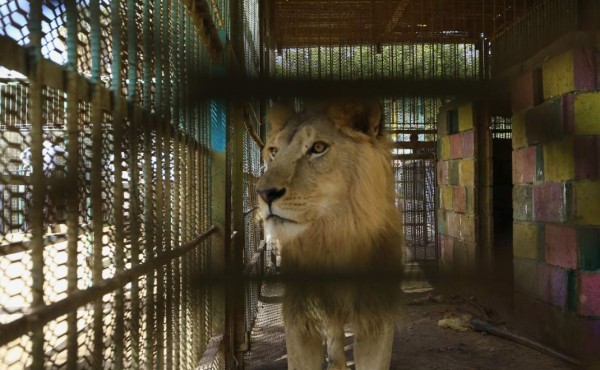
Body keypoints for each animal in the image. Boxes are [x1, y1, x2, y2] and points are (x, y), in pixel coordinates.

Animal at [256, 99, 404, 370]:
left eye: (318, 147)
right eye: (273, 151)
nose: (263, 193)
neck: (333, 235)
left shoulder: (376, 314)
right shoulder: (300, 314)